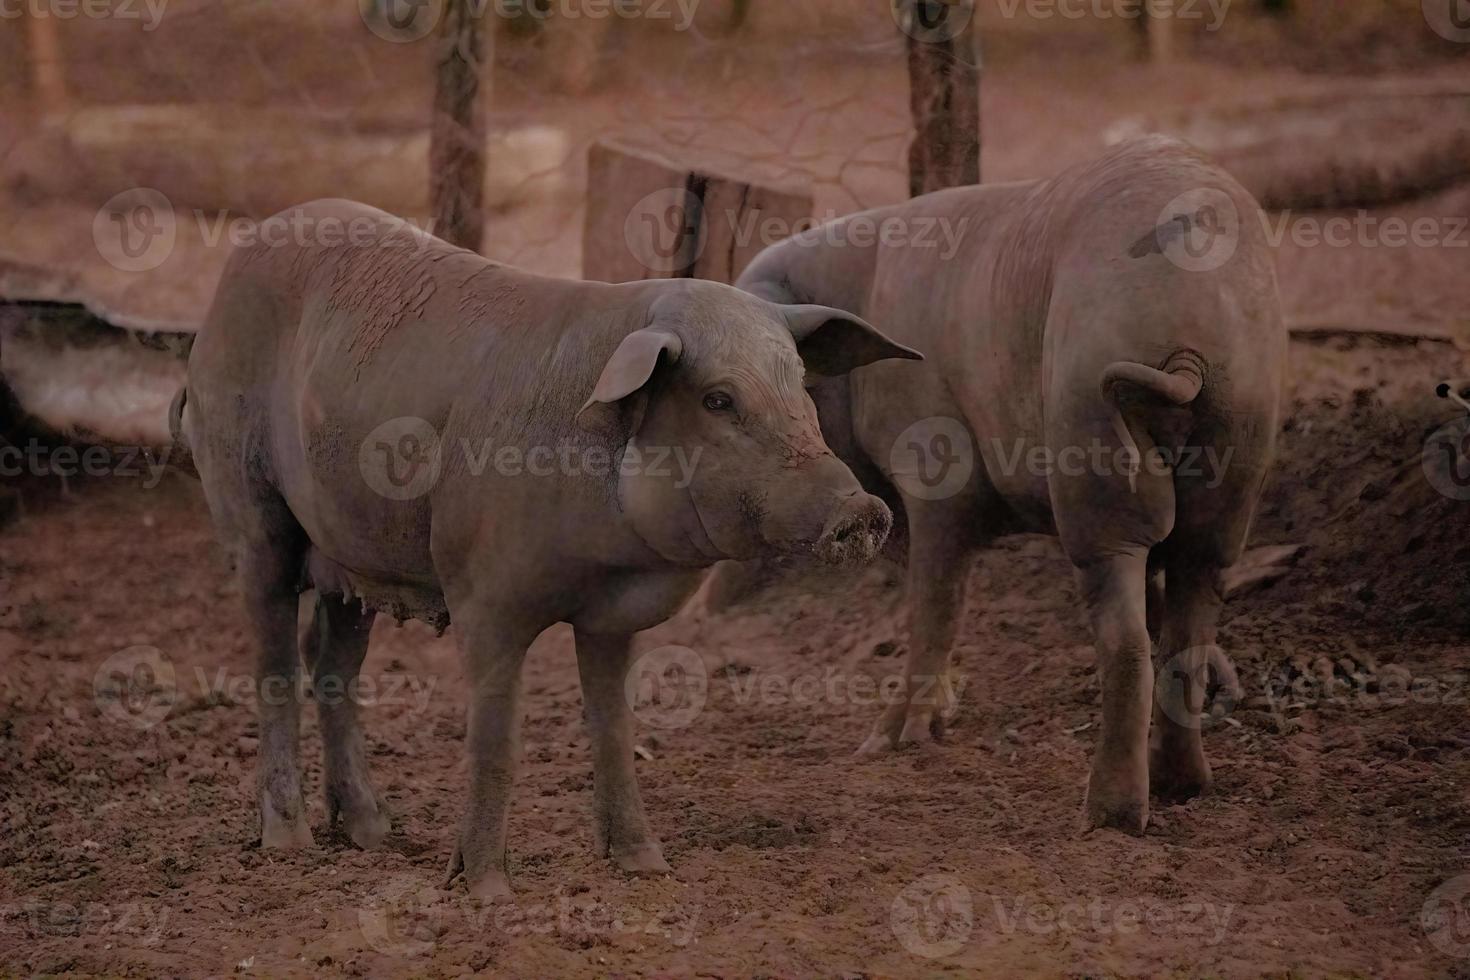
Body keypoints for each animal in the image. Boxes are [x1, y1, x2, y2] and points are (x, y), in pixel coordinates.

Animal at [180, 201, 917, 905]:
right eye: (718, 399)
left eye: (801, 387)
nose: (862, 510)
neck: (613, 558)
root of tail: (222, 289)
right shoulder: (483, 594)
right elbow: (497, 738)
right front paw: (486, 890)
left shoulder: (611, 617)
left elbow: (614, 728)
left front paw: (647, 866)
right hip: (251, 511)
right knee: (274, 661)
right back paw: (290, 842)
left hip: (352, 550)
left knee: (334, 662)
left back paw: (375, 833)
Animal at [735, 134, 1287, 834]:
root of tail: (1188, 331)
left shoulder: (933, 469)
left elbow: (936, 602)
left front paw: (889, 743)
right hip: (1240, 437)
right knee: (1191, 606)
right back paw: (1182, 788)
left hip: (1088, 425)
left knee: (1126, 637)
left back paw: (1107, 817)